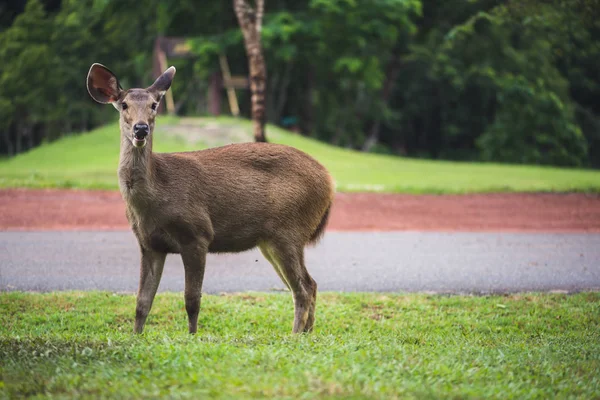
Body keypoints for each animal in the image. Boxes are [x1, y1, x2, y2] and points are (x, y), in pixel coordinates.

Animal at [86, 63, 336, 334]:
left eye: (154, 104)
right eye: (124, 105)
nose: (140, 129)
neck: (153, 198)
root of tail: (329, 182)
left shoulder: (197, 233)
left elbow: (192, 300)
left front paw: (192, 336)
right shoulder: (149, 244)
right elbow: (142, 302)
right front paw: (136, 336)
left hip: (289, 230)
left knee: (303, 288)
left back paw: (294, 335)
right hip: (270, 240)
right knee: (310, 284)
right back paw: (306, 333)